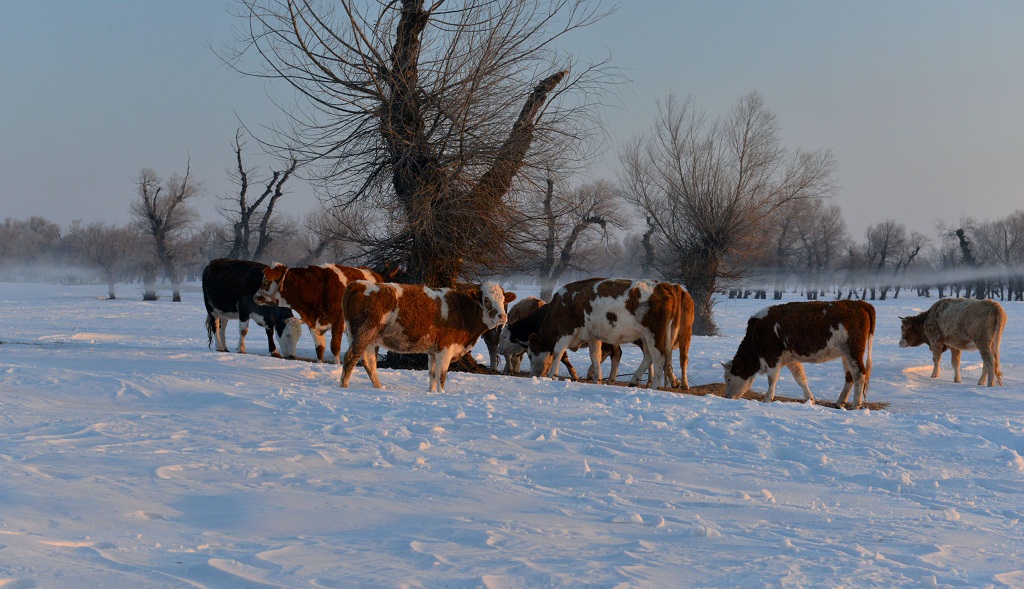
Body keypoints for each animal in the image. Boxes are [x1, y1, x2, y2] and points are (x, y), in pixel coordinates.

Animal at [253, 264, 385, 364]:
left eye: (266, 281)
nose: (255, 296)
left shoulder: (338, 323)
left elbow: (335, 348)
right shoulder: (314, 325)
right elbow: (319, 349)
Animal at [342, 282, 516, 393]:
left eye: (503, 300)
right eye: (486, 300)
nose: (502, 316)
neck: (461, 309)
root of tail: (359, 284)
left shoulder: (433, 350)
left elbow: (432, 374)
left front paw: (432, 393)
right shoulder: (445, 347)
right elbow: (441, 375)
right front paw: (441, 394)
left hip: (367, 339)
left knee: (369, 362)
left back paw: (378, 388)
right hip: (364, 333)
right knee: (351, 357)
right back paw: (343, 387)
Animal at [528, 278, 688, 389]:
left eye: (530, 354)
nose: (532, 375)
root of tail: (664, 286)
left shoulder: (565, 331)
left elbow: (558, 352)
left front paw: (551, 375)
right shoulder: (592, 336)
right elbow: (595, 356)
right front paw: (597, 379)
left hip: (654, 334)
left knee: (659, 357)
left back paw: (653, 386)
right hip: (647, 336)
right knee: (649, 357)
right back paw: (634, 380)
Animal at [724, 299, 876, 409]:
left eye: (729, 379)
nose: (727, 397)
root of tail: (860, 303)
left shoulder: (772, 357)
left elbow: (772, 379)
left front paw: (767, 399)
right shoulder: (790, 359)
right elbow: (800, 377)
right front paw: (810, 399)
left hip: (853, 352)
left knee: (859, 375)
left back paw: (855, 405)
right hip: (845, 355)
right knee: (849, 377)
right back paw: (839, 402)